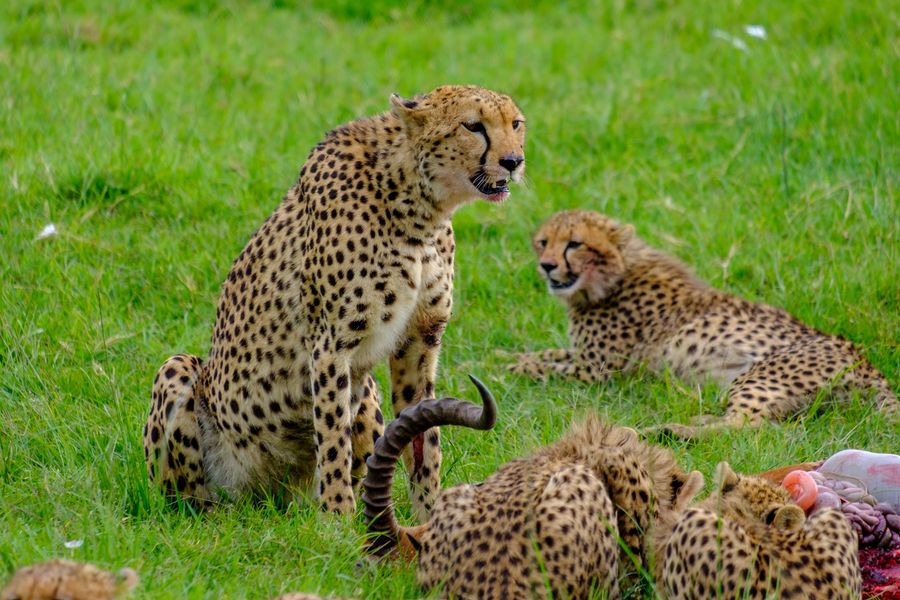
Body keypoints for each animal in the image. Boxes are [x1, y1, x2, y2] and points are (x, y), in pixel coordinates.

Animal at [143, 85, 526, 516]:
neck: (418, 207)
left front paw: (429, 514)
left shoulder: (420, 341)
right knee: (189, 503)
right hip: (179, 379)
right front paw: (338, 518)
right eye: (472, 126)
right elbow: (332, 437)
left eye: (516, 123)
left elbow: (425, 438)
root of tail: (269, 499)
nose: (513, 162)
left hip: (368, 396)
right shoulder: (331, 344)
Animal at [508, 209, 897, 437]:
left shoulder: (598, 373)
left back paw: (671, 430)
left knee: (747, 426)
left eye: (574, 244)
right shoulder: (584, 357)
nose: (546, 265)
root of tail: (868, 364)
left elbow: (546, 367)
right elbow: (548, 353)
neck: (616, 274)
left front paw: (510, 369)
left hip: (760, 375)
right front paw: (507, 356)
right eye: (543, 242)